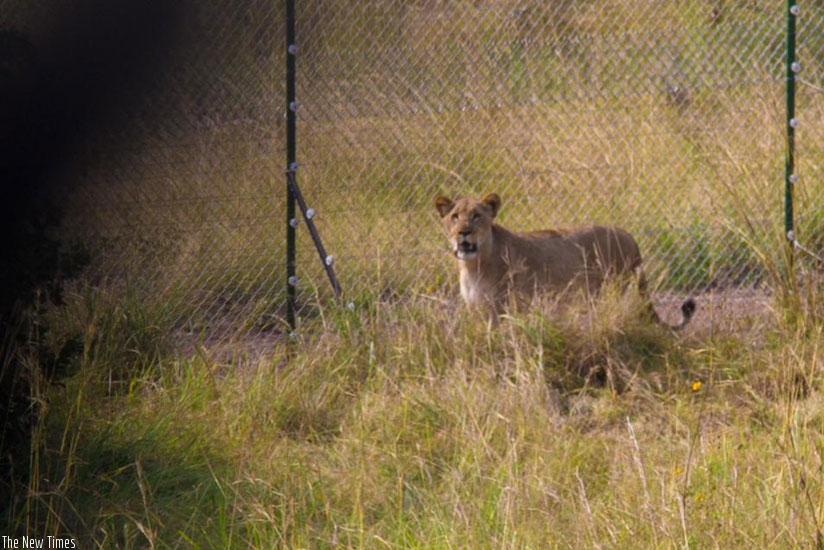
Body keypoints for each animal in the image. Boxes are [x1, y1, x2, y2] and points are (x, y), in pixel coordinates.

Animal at [434, 193, 696, 329]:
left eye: (477, 216)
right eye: (454, 216)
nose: (464, 232)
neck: (472, 266)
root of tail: (628, 234)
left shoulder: (499, 310)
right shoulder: (477, 309)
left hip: (611, 289)